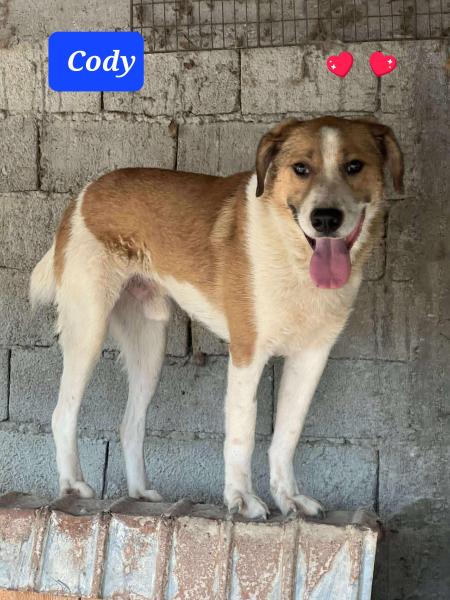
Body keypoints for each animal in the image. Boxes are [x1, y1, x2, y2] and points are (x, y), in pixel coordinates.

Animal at [30, 116, 403, 518]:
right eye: (301, 168)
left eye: (354, 166)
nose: (325, 219)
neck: (294, 255)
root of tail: (85, 192)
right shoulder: (247, 353)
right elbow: (242, 431)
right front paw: (240, 499)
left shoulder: (312, 357)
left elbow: (288, 433)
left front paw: (289, 498)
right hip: (89, 328)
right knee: (62, 412)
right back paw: (72, 484)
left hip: (150, 344)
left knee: (130, 424)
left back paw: (140, 492)